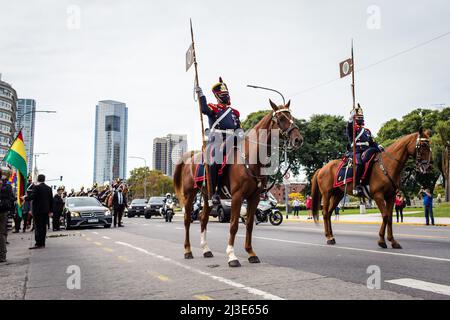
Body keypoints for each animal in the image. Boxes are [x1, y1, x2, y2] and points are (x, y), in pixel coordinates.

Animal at [174, 100, 304, 268]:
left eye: (291, 116)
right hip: (190, 194)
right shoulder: (237, 196)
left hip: (206, 195)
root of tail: (189, 157)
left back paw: (206, 250)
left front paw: (251, 253)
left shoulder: (254, 197)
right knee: (187, 220)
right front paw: (232, 256)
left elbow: (249, 223)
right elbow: (234, 224)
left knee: (203, 218)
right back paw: (188, 250)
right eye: (281, 118)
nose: (298, 139)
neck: (252, 157)